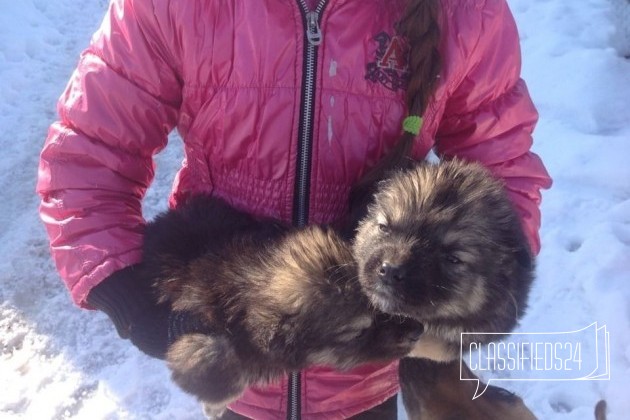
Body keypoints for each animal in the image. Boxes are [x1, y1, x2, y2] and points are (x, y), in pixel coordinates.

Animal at [143, 196, 424, 416]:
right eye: (358, 332)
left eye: (379, 301)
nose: (418, 330)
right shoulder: (200, 342)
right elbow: (220, 368)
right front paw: (214, 406)